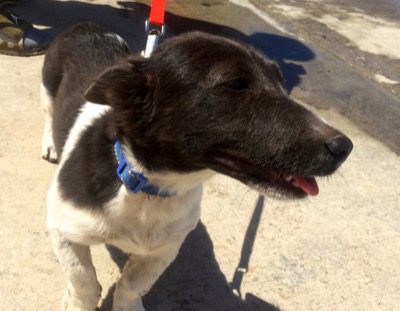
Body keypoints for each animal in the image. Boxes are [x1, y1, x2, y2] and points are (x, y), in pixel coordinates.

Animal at [41, 23, 354, 311]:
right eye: (235, 84)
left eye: (280, 81)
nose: (344, 147)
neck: (150, 188)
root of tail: (87, 26)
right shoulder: (62, 229)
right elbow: (84, 281)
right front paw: (76, 301)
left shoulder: (164, 249)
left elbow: (132, 285)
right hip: (47, 88)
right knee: (49, 113)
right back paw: (50, 145)